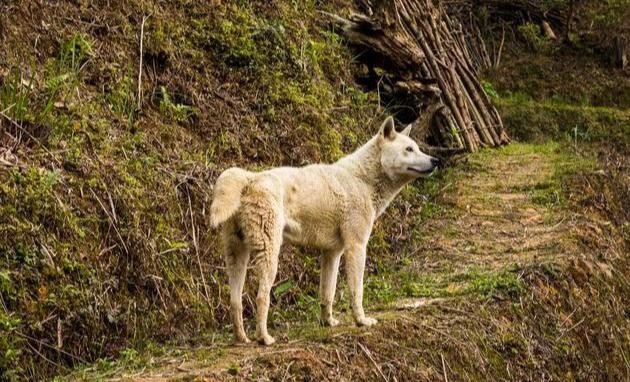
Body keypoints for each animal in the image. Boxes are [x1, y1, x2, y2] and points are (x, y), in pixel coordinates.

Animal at [211, 115, 440, 344]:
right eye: (409, 149)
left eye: (417, 148)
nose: (435, 161)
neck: (363, 180)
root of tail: (250, 179)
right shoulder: (356, 246)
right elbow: (357, 291)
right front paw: (362, 321)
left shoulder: (332, 253)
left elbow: (327, 293)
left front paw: (328, 322)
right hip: (269, 254)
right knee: (261, 296)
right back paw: (264, 338)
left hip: (237, 257)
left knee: (235, 301)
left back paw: (242, 338)